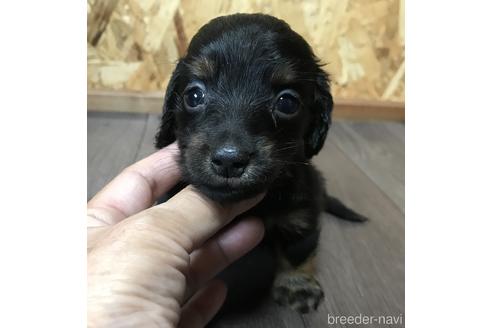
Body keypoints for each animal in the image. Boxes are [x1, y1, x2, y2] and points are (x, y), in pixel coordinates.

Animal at [156, 12, 368, 314]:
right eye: (194, 95)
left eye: (288, 102)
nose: (229, 160)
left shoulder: (301, 212)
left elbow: (298, 249)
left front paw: (297, 285)